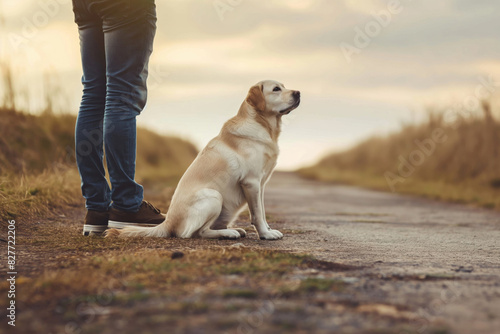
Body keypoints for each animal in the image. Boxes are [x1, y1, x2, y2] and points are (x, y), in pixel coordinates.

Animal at [106, 81, 300, 240]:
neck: (264, 127)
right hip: (214, 196)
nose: (298, 92)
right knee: (196, 233)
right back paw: (228, 233)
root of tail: (167, 222)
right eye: (276, 89)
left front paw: (268, 229)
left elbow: (262, 211)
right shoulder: (251, 182)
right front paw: (266, 234)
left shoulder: (261, 184)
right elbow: (257, 214)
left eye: (284, 86)